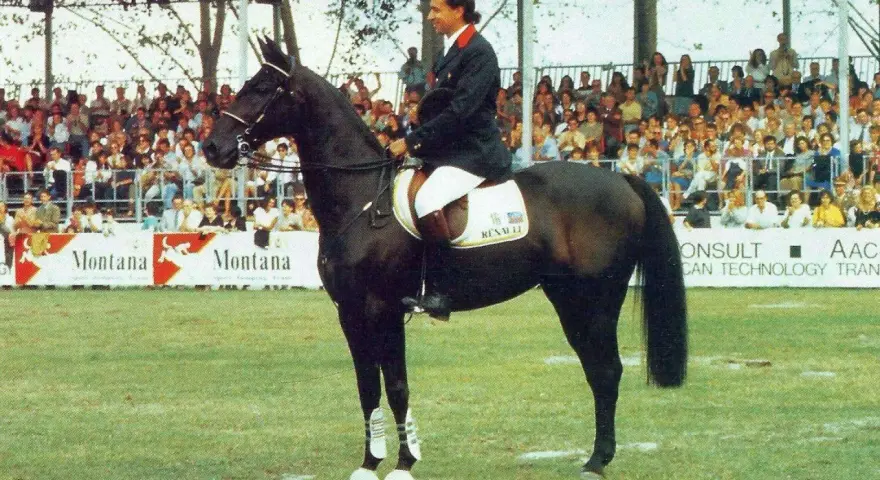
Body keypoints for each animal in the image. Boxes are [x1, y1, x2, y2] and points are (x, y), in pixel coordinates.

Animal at [203, 38, 687, 479]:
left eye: (263, 87)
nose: (211, 147)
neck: (361, 198)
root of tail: (623, 182)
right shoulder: (350, 312)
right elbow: (367, 387)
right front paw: (369, 463)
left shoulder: (383, 308)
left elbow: (397, 386)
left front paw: (403, 463)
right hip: (569, 300)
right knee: (597, 371)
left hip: (594, 303)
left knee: (606, 372)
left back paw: (596, 462)